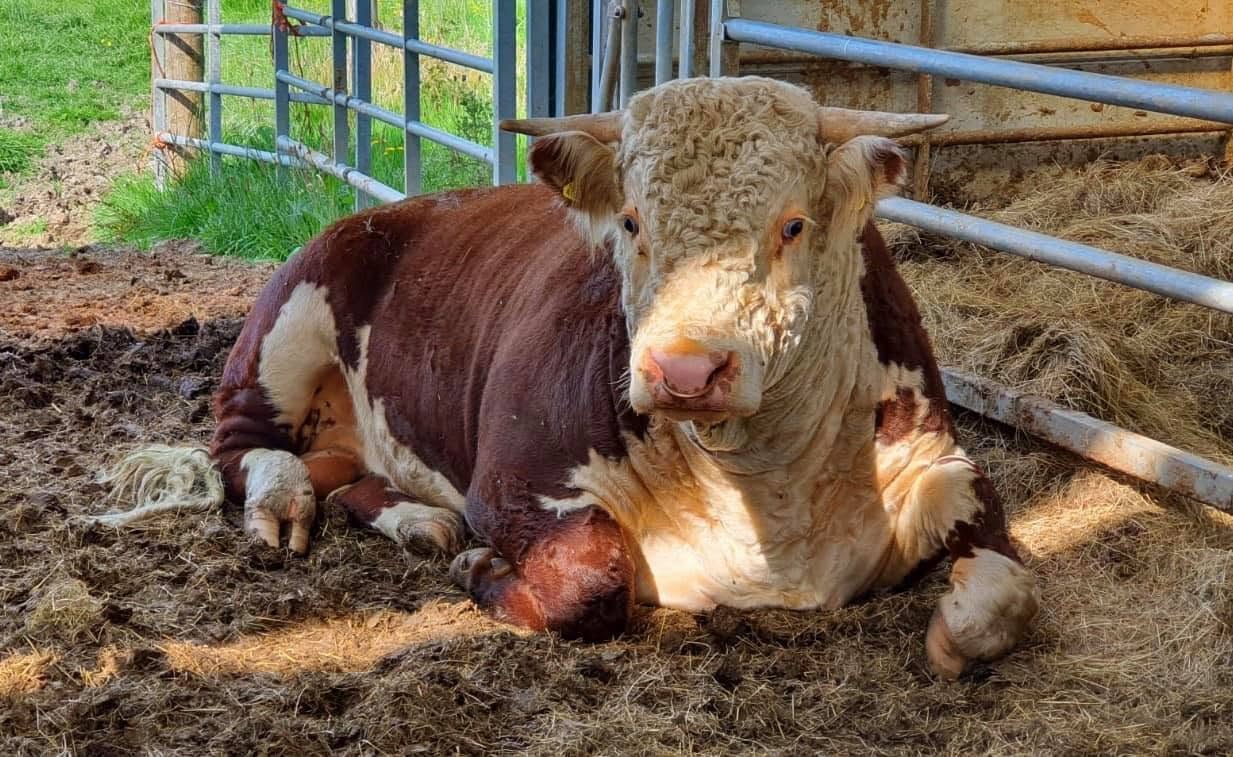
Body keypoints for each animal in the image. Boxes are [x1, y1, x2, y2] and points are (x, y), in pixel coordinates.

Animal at [92, 76, 1038, 678]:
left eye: (793, 224)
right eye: (632, 221)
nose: (683, 368)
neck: (766, 499)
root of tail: (379, 212)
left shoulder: (937, 456)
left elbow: (1003, 586)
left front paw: (958, 629)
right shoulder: (512, 482)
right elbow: (590, 579)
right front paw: (480, 565)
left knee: (347, 475)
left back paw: (415, 521)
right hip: (286, 324)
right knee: (243, 448)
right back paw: (286, 502)